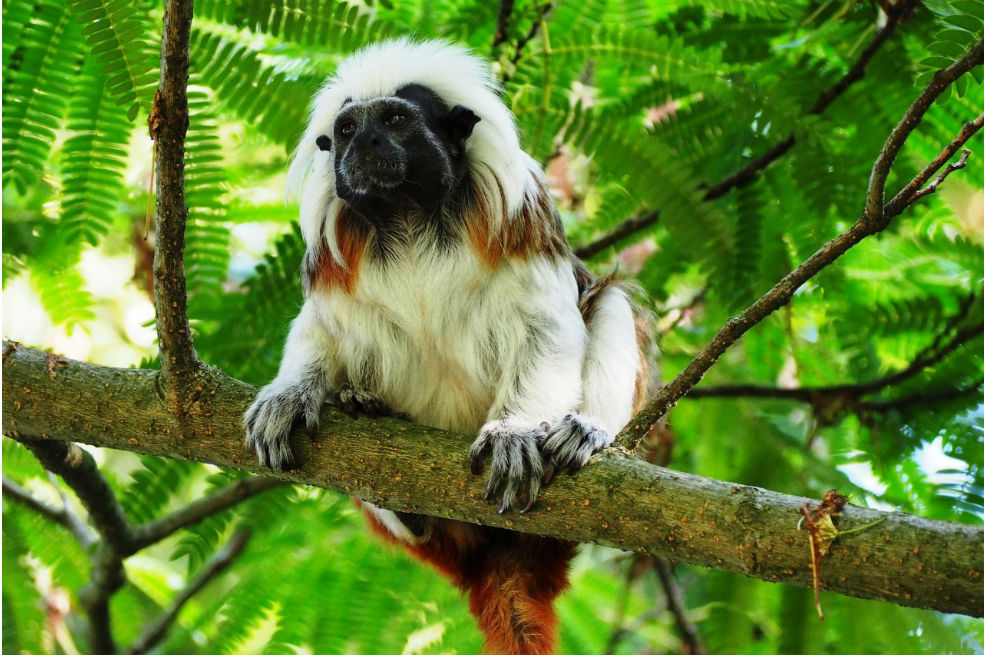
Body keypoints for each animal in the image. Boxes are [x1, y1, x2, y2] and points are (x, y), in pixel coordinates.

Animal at [244, 39, 648, 655]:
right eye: (346, 129)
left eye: (394, 121)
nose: (363, 144)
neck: (408, 215)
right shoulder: (334, 256)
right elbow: (321, 329)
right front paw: (291, 396)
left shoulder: (521, 219)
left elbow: (547, 328)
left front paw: (514, 432)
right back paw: (388, 468)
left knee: (609, 303)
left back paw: (586, 430)